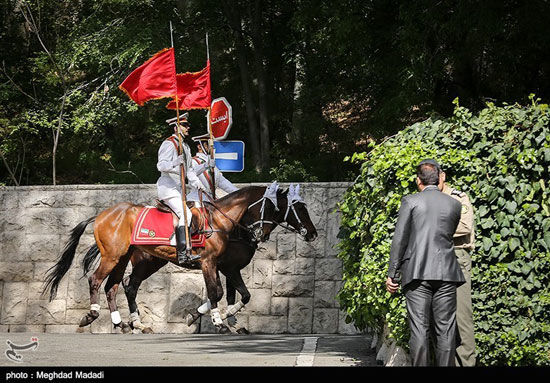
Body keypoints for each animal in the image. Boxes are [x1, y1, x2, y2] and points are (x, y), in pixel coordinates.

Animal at [42, 185, 320, 332]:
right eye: (296, 207)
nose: (313, 233)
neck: (226, 223)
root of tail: (102, 214)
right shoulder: (214, 264)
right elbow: (219, 293)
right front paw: (217, 321)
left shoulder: (226, 267)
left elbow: (237, 294)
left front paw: (224, 320)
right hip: (115, 256)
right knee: (97, 281)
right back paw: (92, 315)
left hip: (130, 259)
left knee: (117, 286)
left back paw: (127, 324)